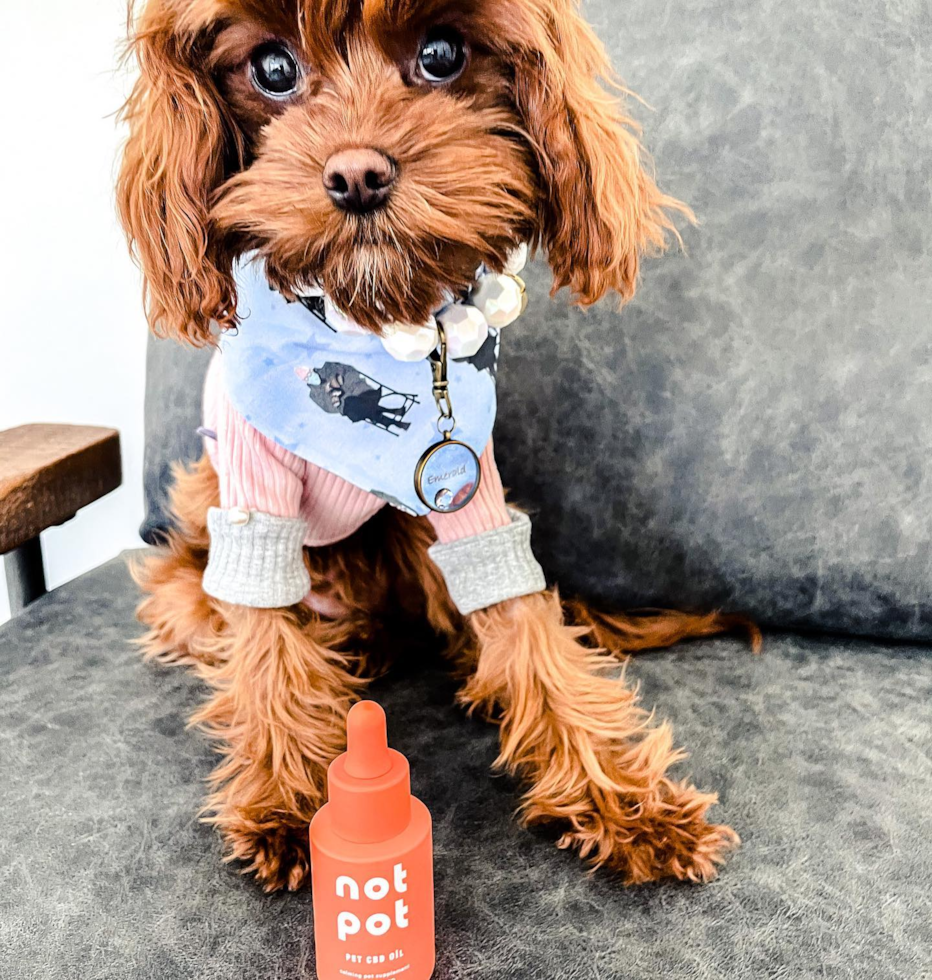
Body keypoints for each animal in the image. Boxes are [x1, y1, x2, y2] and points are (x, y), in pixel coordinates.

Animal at [118, 0, 756, 892]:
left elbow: (525, 624)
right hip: (187, 583)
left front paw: (622, 797)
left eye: (443, 55)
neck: (374, 323)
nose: (356, 175)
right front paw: (288, 800)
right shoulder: (251, 486)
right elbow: (267, 639)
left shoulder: (463, 483)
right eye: (273, 69)